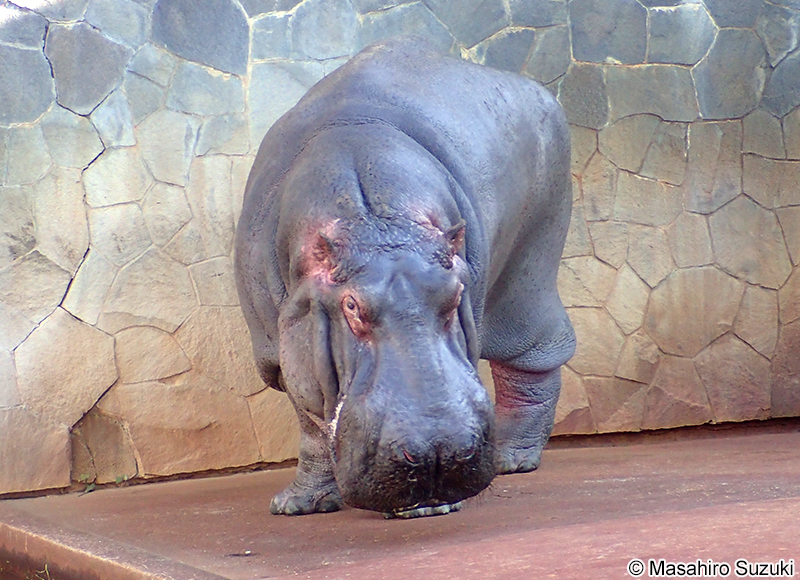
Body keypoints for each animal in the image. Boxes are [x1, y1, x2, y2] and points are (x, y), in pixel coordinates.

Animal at [234, 39, 576, 517]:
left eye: (455, 295)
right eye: (351, 306)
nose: (438, 455)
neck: (374, 221)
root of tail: (537, 90)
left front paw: (425, 509)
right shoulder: (282, 344)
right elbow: (311, 422)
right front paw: (298, 506)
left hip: (531, 264)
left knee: (533, 354)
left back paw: (513, 459)